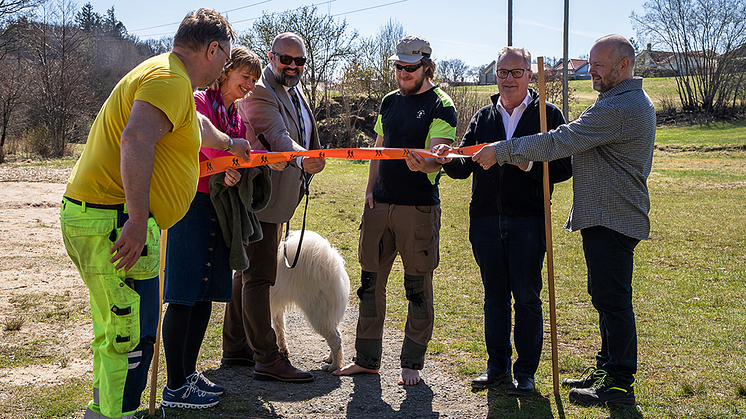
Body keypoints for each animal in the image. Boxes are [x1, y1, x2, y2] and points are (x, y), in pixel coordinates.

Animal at [272, 231, 350, 372]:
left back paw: (333, 366)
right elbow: (280, 329)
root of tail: (333, 264)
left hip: (318, 315)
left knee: (335, 341)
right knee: (338, 336)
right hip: (326, 316)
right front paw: (282, 349)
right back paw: (330, 359)